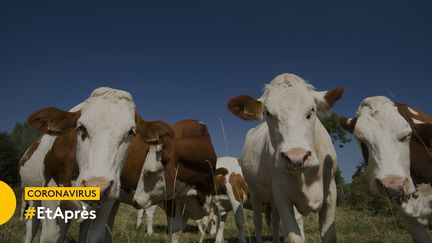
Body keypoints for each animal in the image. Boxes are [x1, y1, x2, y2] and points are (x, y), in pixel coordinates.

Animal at [19, 87, 173, 243]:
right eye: (80, 127)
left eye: (131, 132)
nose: (96, 186)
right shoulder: (50, 193)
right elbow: (49, 237)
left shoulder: (108, 201)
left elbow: (96, 235)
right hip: (31, 196)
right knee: (32, 225)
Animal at [226, 73, 344, 243]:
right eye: (268, 113)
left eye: (312, 110)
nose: (296, 158)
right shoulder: (281, 194)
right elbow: (294, 236)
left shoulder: (330, 191)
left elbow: (328, 235)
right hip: (255, 193)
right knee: (258, 221)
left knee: (275, 221)